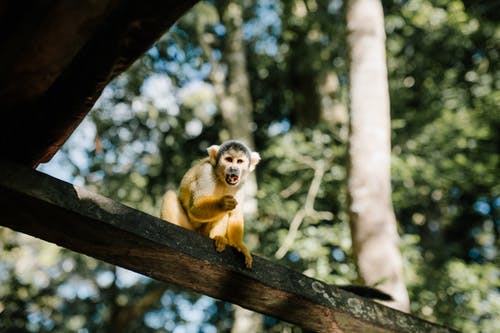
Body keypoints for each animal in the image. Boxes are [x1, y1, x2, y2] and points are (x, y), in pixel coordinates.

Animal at [161, 139, 262, 268]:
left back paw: (217, 237)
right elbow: (196, 207)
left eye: (239, 161)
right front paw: (222, 203)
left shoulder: (241, 183)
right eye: (229, 159)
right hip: (189, 227)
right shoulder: (206, 171)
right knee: (169, 195)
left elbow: (235, 213)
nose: (234, 168)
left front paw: (238, 245)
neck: (222, 179)